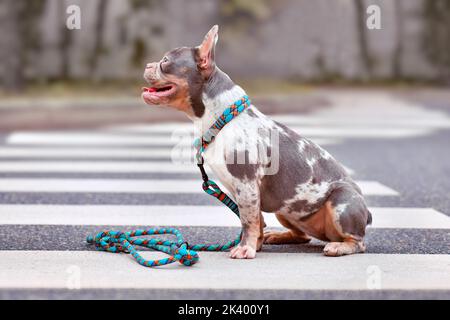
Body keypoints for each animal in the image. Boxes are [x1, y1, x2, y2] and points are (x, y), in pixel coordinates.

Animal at [142, 26, 370, 258]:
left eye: (165, 61)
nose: (148, 64)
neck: (223, 118)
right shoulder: (243, 190)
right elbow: (256, 219)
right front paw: (256, 245)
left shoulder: (246, 183)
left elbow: (248, 220)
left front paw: (245, 248)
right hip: (285, 209)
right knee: (302, 235)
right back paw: (278, 236)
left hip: (341, 201)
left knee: (358, 241)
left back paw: (339, 246)